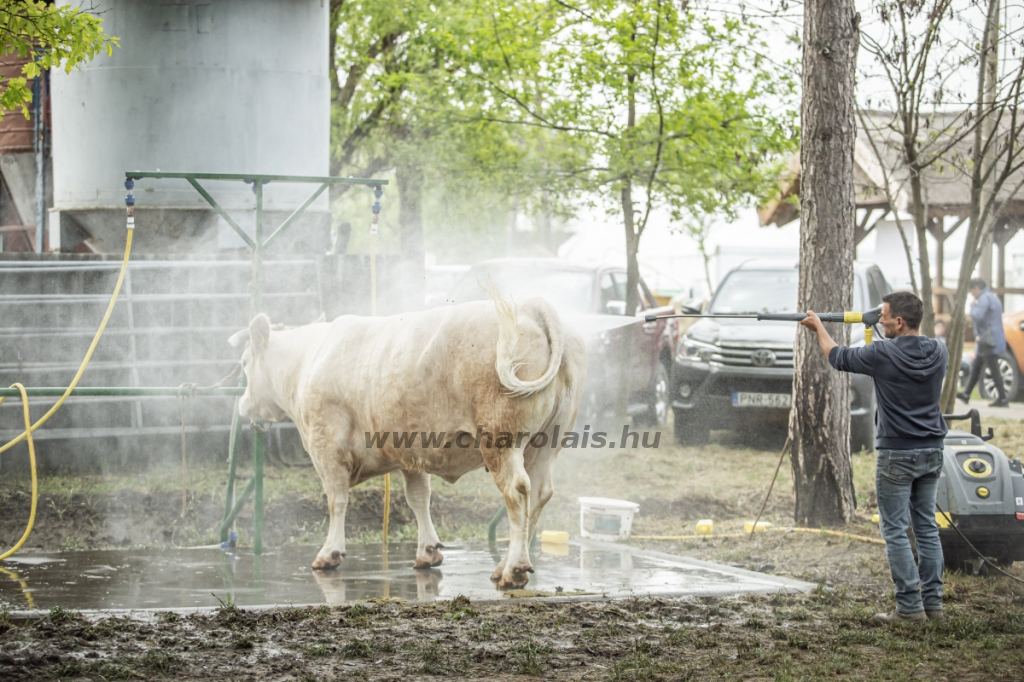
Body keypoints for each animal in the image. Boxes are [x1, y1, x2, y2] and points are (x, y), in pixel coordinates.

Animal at [230, 294, 585, 585]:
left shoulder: (325, 444)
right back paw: (507, 565)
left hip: (501, 438)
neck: (306, 361)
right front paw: (427, 551)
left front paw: (329, 552)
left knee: (517, 491)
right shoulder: (411, 451)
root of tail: (530, 305)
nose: (242, 405)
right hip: (546, 444)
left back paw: (513, 570)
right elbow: (418, 498)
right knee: (538, 493)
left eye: (244, 362)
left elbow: (336, 499)